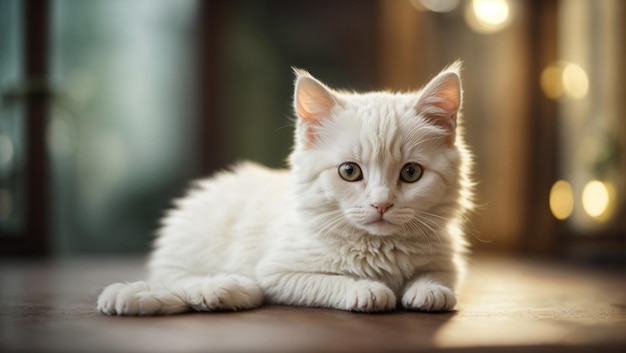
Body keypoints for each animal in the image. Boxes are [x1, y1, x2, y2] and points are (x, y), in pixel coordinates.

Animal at [95, 62, 470, 314]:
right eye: (349, 171)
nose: (382, 204)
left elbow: (439, 276)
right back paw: (213, 289)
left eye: (411, 172)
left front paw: (429, 291)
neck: (379, 248)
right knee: (177, 282)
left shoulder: (447, 261)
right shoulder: (279, 274)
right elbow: (328, 280)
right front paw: (367, 289)